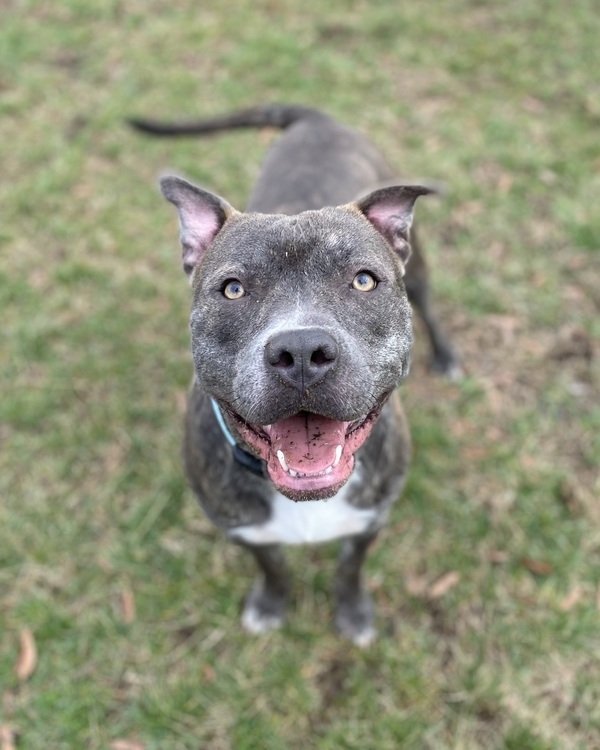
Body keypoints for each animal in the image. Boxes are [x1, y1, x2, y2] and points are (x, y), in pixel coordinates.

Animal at [131, 106, 458, 648]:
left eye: (363, 280)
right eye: (233, 289)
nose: (301, 350)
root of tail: (318, 118)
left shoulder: (370, 520)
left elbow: (349, 570)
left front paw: (353, 614)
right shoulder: (243, 530)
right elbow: (274, 567)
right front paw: (270, 605)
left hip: (422, 272)